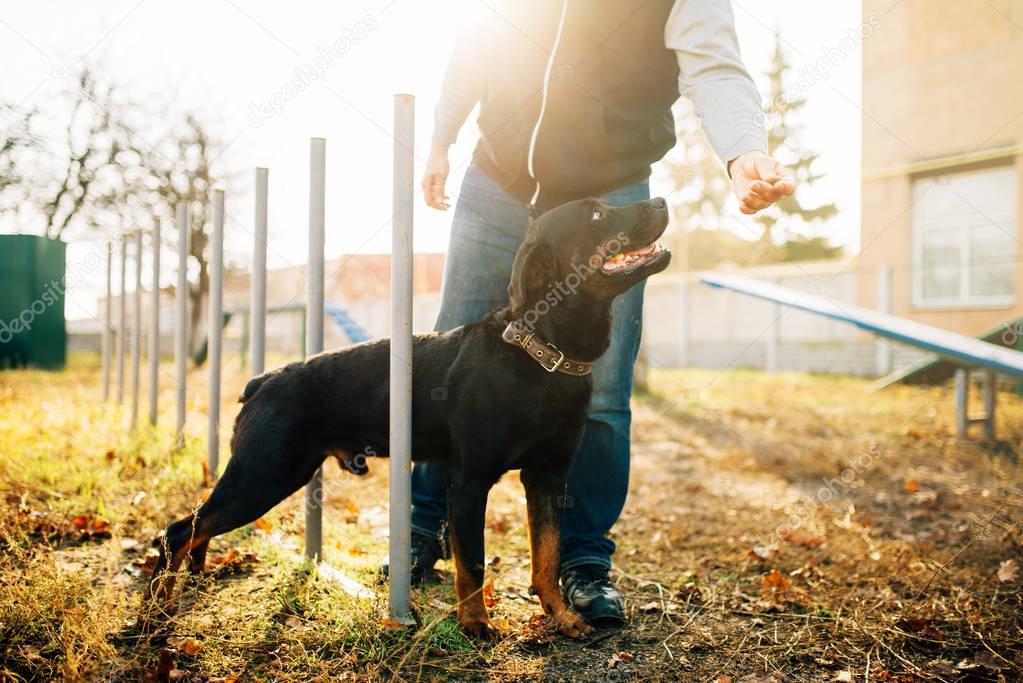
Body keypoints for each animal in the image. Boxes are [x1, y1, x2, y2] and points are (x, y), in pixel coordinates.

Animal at [146, 194, 671, 638]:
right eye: (597, 215)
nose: (662, 201)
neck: (543, 358)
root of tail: (265, 379)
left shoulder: (548, 476)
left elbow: (547, 556)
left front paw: (562, 618)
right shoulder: (469, 480)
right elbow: (473, 564)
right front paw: (476, 625)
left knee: (196, 526)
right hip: (265, 475)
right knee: (179, 530)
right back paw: (157, 611)